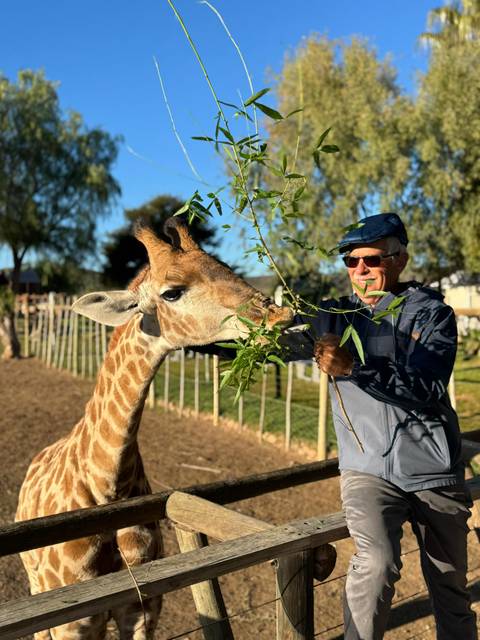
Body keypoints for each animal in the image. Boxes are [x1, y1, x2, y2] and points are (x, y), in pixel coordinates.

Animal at [16, 218, 293, 640]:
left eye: (226, 268)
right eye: (172, 292)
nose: (280, 317)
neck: (108, 487)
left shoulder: (142, 609)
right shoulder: (74, 622)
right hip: (35, 585)